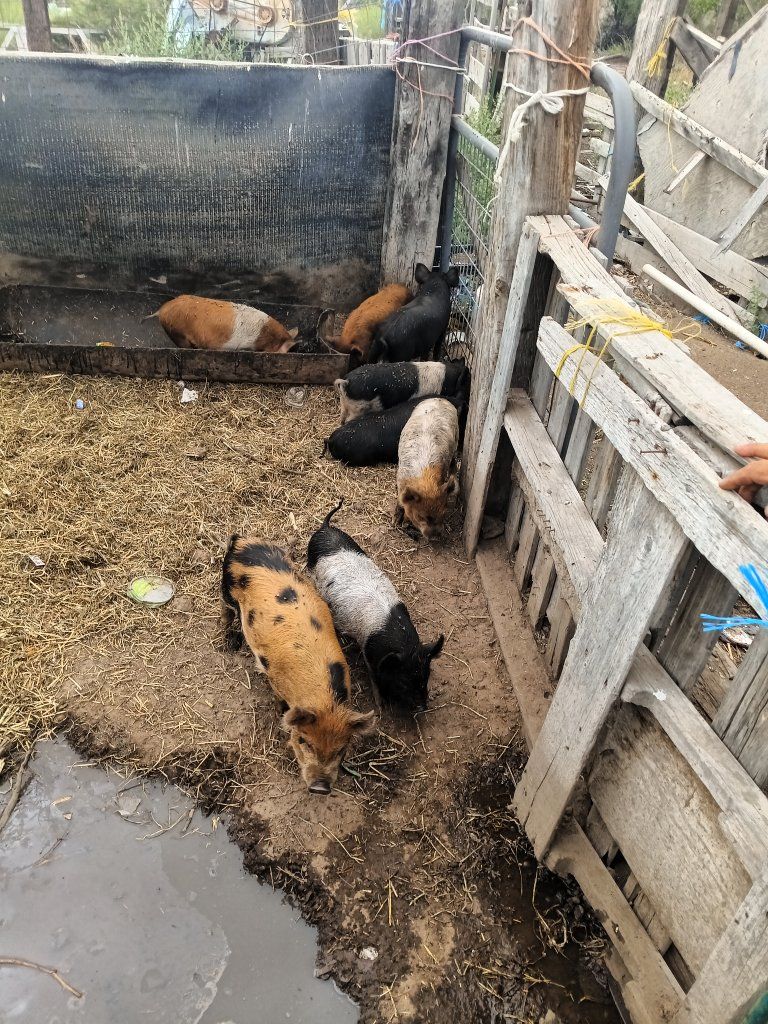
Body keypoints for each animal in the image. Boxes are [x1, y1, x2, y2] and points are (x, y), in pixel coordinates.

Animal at [221, 536, 376, 794]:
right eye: (305, 741)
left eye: (341, 749)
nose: (320, 788)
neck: (323, 702)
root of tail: (243, 540)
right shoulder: (274, 678)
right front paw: (280, 714)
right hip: (227, 588)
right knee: (227, 610)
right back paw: (228, 641)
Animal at [307, 500, 444, 714]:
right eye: (403, 682)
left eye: (426, 676)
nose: (422, 707)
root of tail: (324, 527)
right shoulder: (369, 655)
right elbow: (374, 679)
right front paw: (382, 705)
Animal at [334, 358, 470, 425]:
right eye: (465, 386)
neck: (446, 380)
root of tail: (346, 381)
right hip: (358, 408)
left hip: (344, 404)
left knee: (342, 417)